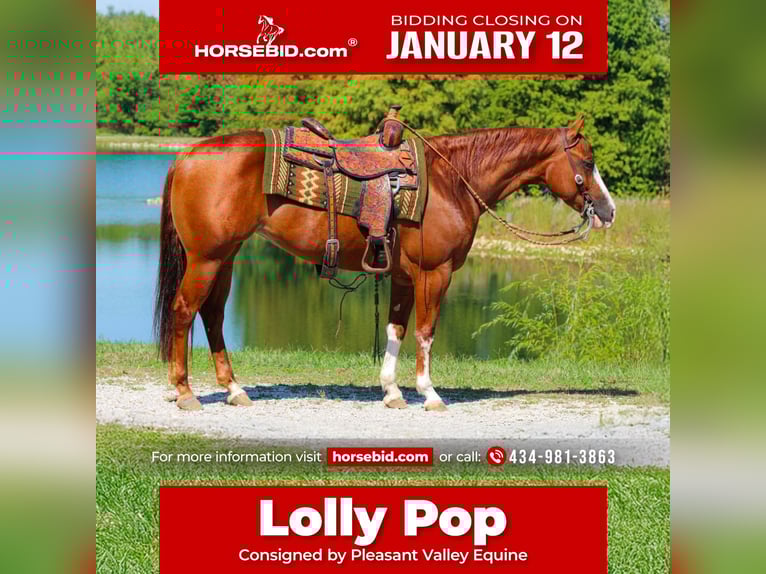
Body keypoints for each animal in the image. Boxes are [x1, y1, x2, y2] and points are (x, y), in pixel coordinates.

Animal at [153, 116, 616, 411]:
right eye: (588, 162)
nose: (608, 211)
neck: (452, 180)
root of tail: (187, 155)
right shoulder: (434, 274)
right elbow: (426, 332)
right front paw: (429, 394)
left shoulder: (403, 277)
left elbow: (396, 330)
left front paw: (392, 392)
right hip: (207, 259)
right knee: (184, 311)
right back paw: (185, 392)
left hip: (225, 258)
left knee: (212, 316)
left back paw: (234, 389)